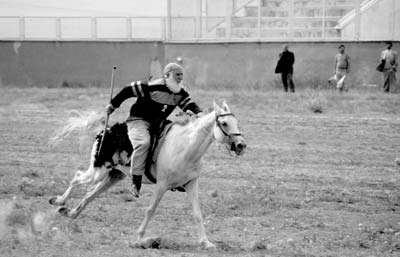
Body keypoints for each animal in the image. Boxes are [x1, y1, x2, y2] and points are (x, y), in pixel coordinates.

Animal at [48, 100, 245, 248]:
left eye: (237, 122)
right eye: (224, 123)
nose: (241, 145)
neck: (184, 146)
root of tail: (106, 130)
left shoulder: (191, 183)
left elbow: (197, 213)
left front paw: (205, 242)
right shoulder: (162, 185)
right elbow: (151, 210)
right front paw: (139, 238)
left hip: (114, 176)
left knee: (90, 194)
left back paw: (70, 213)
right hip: (98, 171)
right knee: (77, 178)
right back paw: (59, 201)